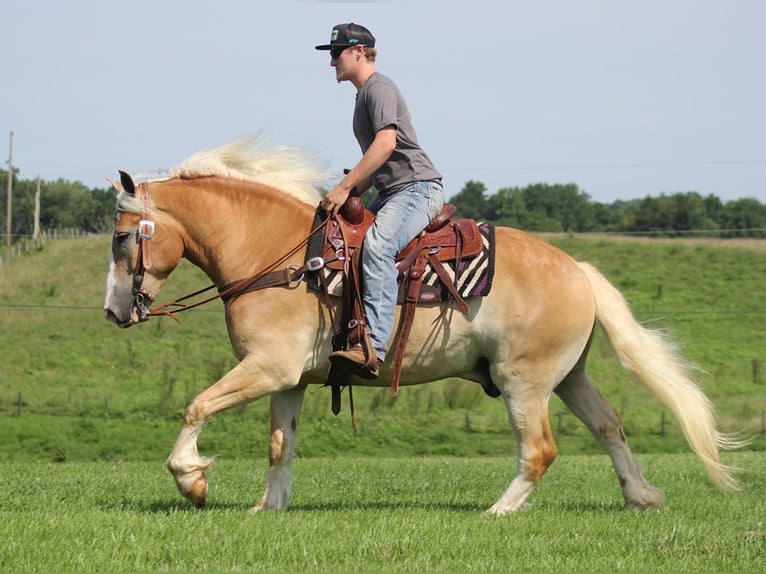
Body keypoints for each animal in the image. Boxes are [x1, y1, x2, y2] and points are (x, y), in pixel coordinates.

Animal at [102, 137, 744, 516]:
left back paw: (500, 510)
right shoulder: (290, 380)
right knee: (610, 427)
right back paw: (641, 496)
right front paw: (270, 508)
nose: (113, 311)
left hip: (525, 382)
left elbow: (196, 407)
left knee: (539, 449)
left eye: (121, 236)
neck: (283, 258)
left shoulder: (266, 368)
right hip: (568, 376)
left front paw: (192, 480)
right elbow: (281, 444)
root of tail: (577, 270)